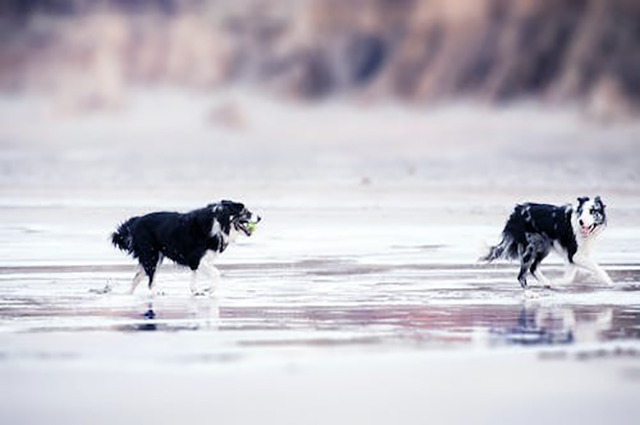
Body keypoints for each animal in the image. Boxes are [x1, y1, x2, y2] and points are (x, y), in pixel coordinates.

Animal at [112, 200, 260, 294]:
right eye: (245, 211)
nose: (260, 217)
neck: (219, 221)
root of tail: (136, 221)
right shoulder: (196, 258)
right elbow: (216, 273)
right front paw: (209, 289)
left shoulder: (198, 262)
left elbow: (194, 278)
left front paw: (196, 291)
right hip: (151, 255)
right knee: (150, 281)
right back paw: (156, 293)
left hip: (154, 257)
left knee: (137, 278)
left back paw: (128, 294)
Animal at [482, 195, 612, 288]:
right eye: (581, 212)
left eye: (593, 211)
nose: (581, 221)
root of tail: (516, 212)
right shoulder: (574, 255)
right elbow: (596, 267)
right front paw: (609, 282)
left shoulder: (573, 257)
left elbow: (570, 276)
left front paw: (560, 282)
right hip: (530, 248)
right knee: (521, 276)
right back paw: (530, 294)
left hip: (544, 248)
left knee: (532, 268)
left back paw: (546, 283)